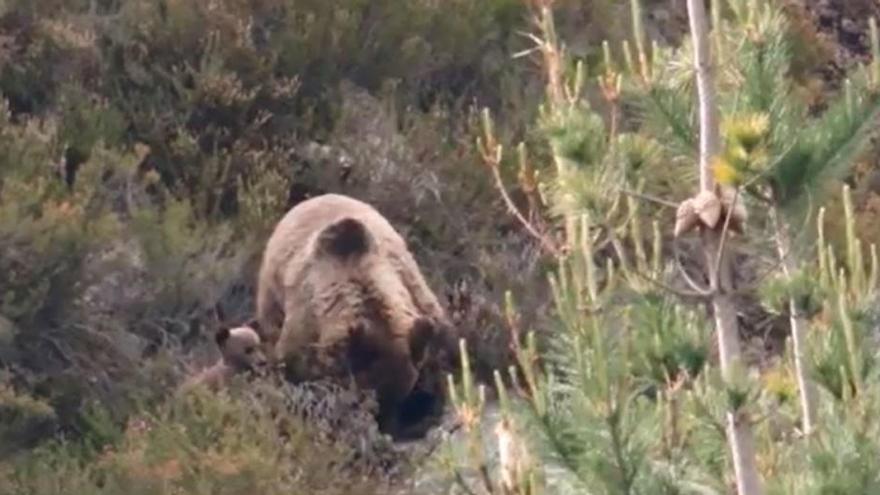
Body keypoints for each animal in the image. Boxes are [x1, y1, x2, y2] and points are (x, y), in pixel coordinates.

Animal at [254, 194, 460, 438]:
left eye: (399, 397)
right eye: (370, 396)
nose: (386, 429)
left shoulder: (416, 295)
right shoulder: (304, 322)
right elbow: (294, 365)